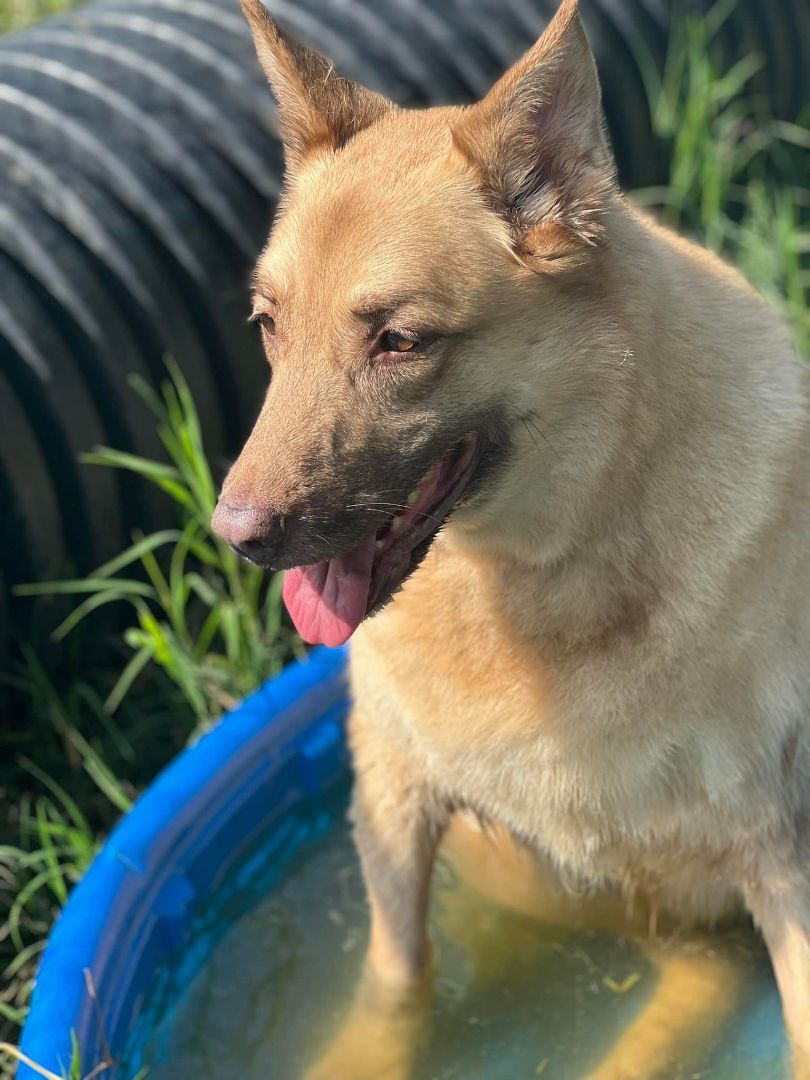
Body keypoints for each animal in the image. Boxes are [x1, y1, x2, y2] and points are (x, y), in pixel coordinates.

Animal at [216, 2, 810, 1071]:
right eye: (270, 326)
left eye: (399, 342)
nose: (233, 536)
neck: (531, 571)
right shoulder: (393, 793)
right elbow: (397, 976)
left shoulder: (775, 858)